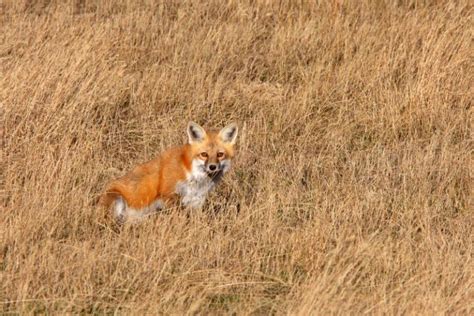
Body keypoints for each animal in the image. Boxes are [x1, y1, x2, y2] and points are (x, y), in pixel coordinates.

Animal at [101, 121, 239, 222]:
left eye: (220, 154)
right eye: (204, 154)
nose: (212, 167)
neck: (191, 174)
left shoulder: (197, 200)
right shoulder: (168, 195)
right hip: (117, 199)